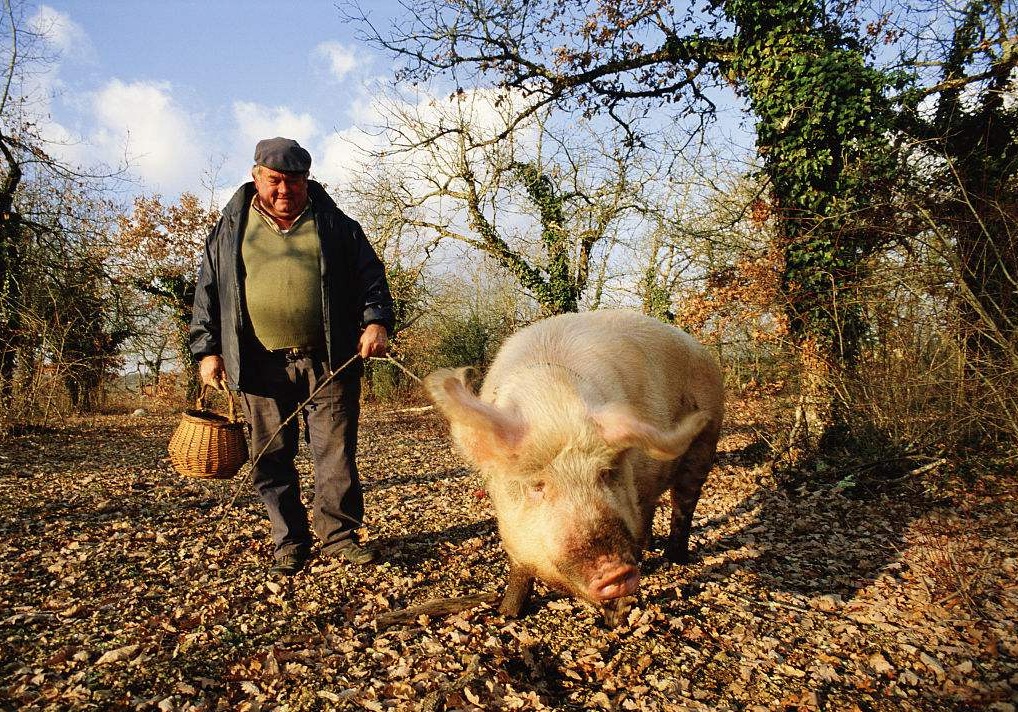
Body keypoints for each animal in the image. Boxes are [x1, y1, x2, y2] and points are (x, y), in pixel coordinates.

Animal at [421, 309, 724, 619]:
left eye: (605, 474)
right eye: (537, 486)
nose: (616, 572)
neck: (553, 403)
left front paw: (616, 617)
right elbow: (520, 571)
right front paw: (507, 614)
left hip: (705, 444)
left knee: (683, 505)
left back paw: (675, 558)